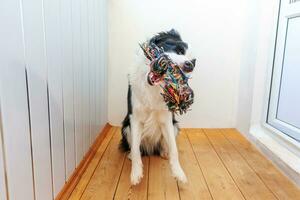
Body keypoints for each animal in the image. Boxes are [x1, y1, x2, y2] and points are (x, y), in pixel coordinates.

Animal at [120, 29, 196, 184]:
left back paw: (164, 152)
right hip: (125, 127)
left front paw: (178, 173)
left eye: (193, 61)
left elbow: (174, 148)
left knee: (165, 144)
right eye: (179, 50)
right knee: (136, 147)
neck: (152, 87)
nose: (190, 65)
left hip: (175, 126)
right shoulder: (135, 118)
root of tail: (150, 147)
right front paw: (136, 173)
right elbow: (135, 149)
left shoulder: (166, 119)